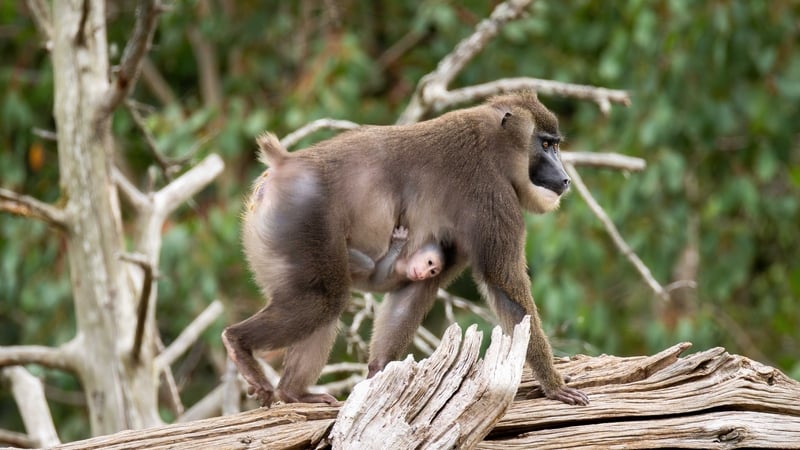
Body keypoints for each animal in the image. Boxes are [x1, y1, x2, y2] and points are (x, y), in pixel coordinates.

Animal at [222, 91, 588, 407]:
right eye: (545, 144)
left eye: (555, 145)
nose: (565, 178)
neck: (497, 144)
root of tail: (284, 164)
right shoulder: (491, 196)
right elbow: (506, 286)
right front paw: (554, 385)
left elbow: (416, 289)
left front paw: (378, 372)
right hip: (303, 219)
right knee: (324, 299)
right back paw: (239, 344)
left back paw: (293, 392)